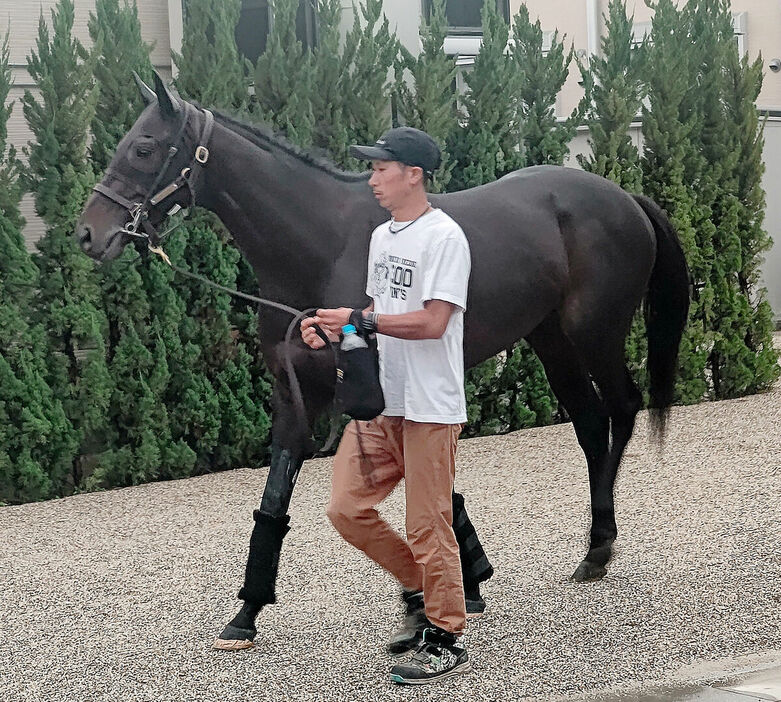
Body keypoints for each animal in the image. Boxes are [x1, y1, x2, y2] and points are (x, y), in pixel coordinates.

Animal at [76, 74, 688, 652]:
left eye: (144, 148)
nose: (88, 233)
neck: (320, 245)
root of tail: (624, 198)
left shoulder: (369, 391)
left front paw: (452, 586)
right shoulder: (297, 394)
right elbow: (275, 499)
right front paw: (246, 613)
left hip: (594, 335)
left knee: (622, 408)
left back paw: (600, 548)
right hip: (551, 340)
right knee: (589, 422)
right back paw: (592, 545)